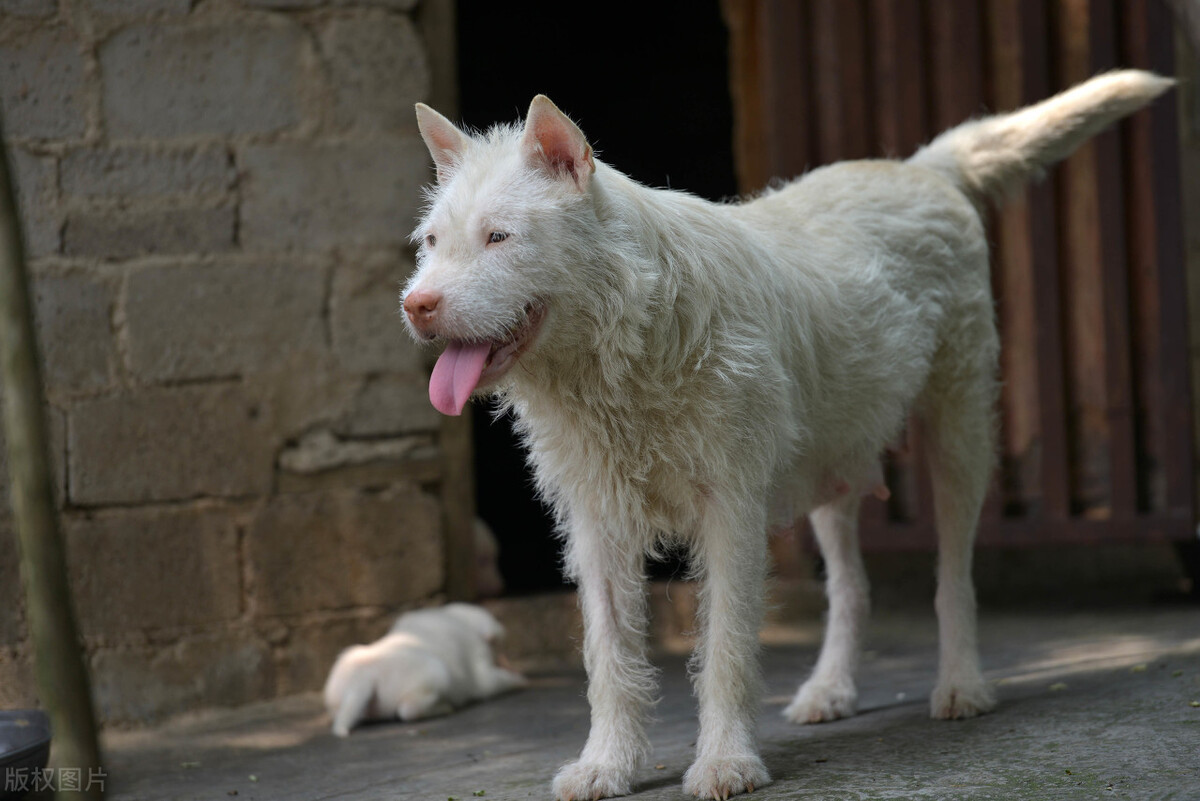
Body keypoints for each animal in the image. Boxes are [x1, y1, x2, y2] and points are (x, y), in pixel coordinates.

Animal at [321, 599, 523, 738]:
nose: (503, 659)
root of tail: (364, 675)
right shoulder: (481, 673)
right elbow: (494, 682)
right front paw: (520, 680)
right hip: (435, 674)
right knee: (409, 710)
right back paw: (445, 707)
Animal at [403, 71, 1171, 796]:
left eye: (499, 236)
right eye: (433, 243)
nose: (416, 305)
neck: (625, 342)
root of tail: (919, 169)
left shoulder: (731, 514)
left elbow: (726, 649)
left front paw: (724, 762)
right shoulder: (598, 527)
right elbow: (611, 655)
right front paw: (607, 765)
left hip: (959, 440)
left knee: (954, 575)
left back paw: (961, 683)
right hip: (834, 472)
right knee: (851, 587)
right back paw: (831, 688)